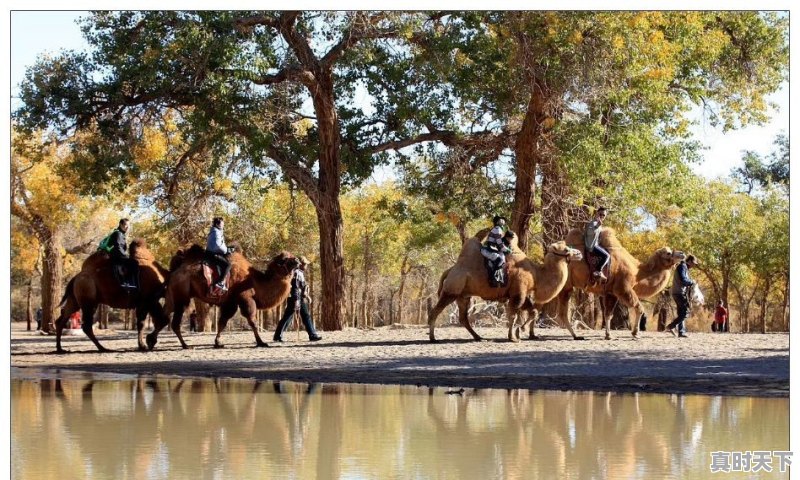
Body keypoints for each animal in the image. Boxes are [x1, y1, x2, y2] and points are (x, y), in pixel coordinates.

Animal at [147, 248, 300, 348]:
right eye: (285, 259)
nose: (298, 260)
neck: (254, 281)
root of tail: (174, 270)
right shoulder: (245, 298)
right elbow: (252, 321)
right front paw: (261, 342)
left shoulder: (230, 302)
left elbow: (222, 322)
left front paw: (218, 342)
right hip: (182, 296)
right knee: (174, 321)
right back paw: (185, 345)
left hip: (172, 294)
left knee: (164, 316)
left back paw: (151, 340)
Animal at [424, 228, 580, 342]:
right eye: (566, 249)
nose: (579, 253)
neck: (536, 274)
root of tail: (450, 270)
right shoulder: (518, 293)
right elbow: (513, 315)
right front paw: (514, 337)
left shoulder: (519, 293)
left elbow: (531, 312)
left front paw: (519, 331)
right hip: (451, 291)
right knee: (435, 312)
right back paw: (433, 338)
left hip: (463, 296)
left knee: (463, 318)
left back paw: (479, 337)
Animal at [552, 227, 688, 340]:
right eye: (668, 253)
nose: (682, 253)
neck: (637, 273)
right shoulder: (623, 288)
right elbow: (639, 308)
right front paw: (635, 333)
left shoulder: (611, 292)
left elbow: (608, 314)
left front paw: (608, 335)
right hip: (566, 286)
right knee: (562, 313)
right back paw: (575, 335)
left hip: (566, 287)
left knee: (561, 313)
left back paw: (575, 335)